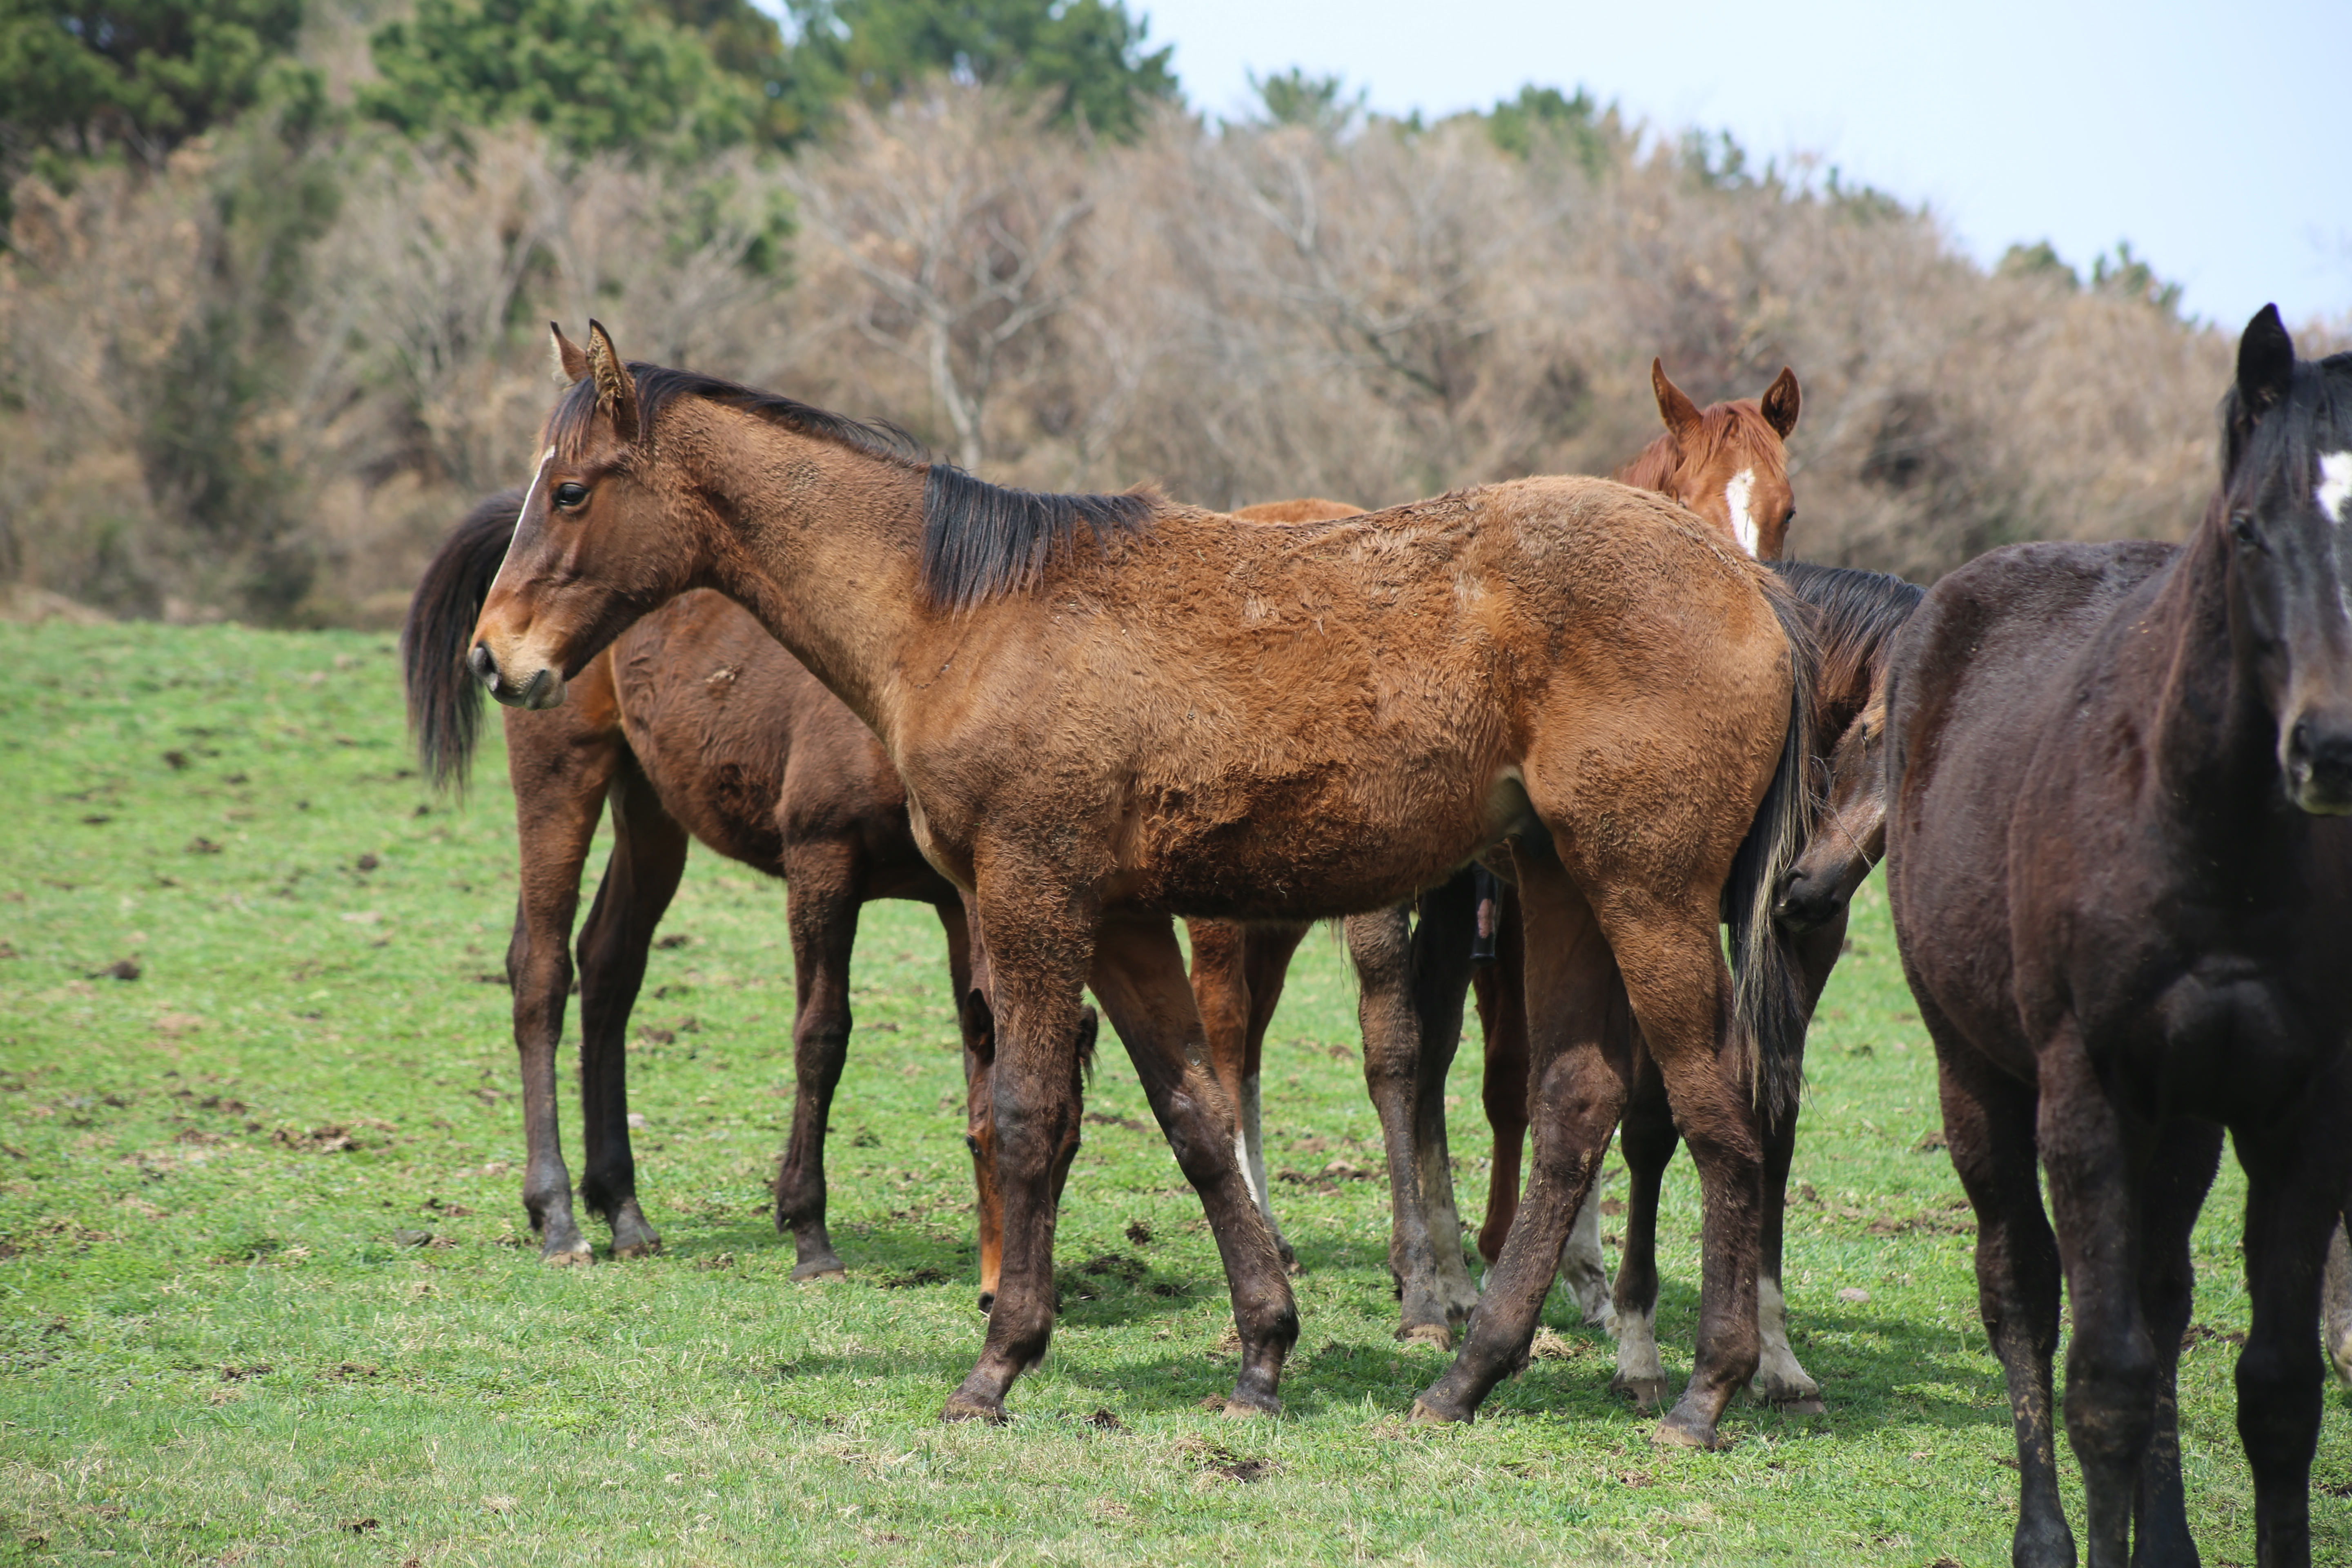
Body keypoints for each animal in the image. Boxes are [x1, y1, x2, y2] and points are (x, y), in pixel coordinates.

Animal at [463, 322, 1815, 1448]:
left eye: (571, 490)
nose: (495, 655)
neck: (972, 611)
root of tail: (1751, 588)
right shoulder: (1118, 917)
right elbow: (1198, 1119)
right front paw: (1263, 1354)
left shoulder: (1033, 896)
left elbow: (1029, 1116)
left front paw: (1000, 1363)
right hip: (1564, 886)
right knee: (1577, 1107)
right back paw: (1466, 1375)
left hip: (1646, 893)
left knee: (1717, 1108)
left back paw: (1704, 1391)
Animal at [1882, 305, 2352, 1568]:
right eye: (2247, 529)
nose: (2330, 746)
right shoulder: (2083, 1092)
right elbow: (2102, 1381)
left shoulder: (2298, 1110)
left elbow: (2276, 1391)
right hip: (1977, 1073)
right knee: (2020, 1288)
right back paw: (2043, 1537)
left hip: (2180, 1119)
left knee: (2161, 1287)